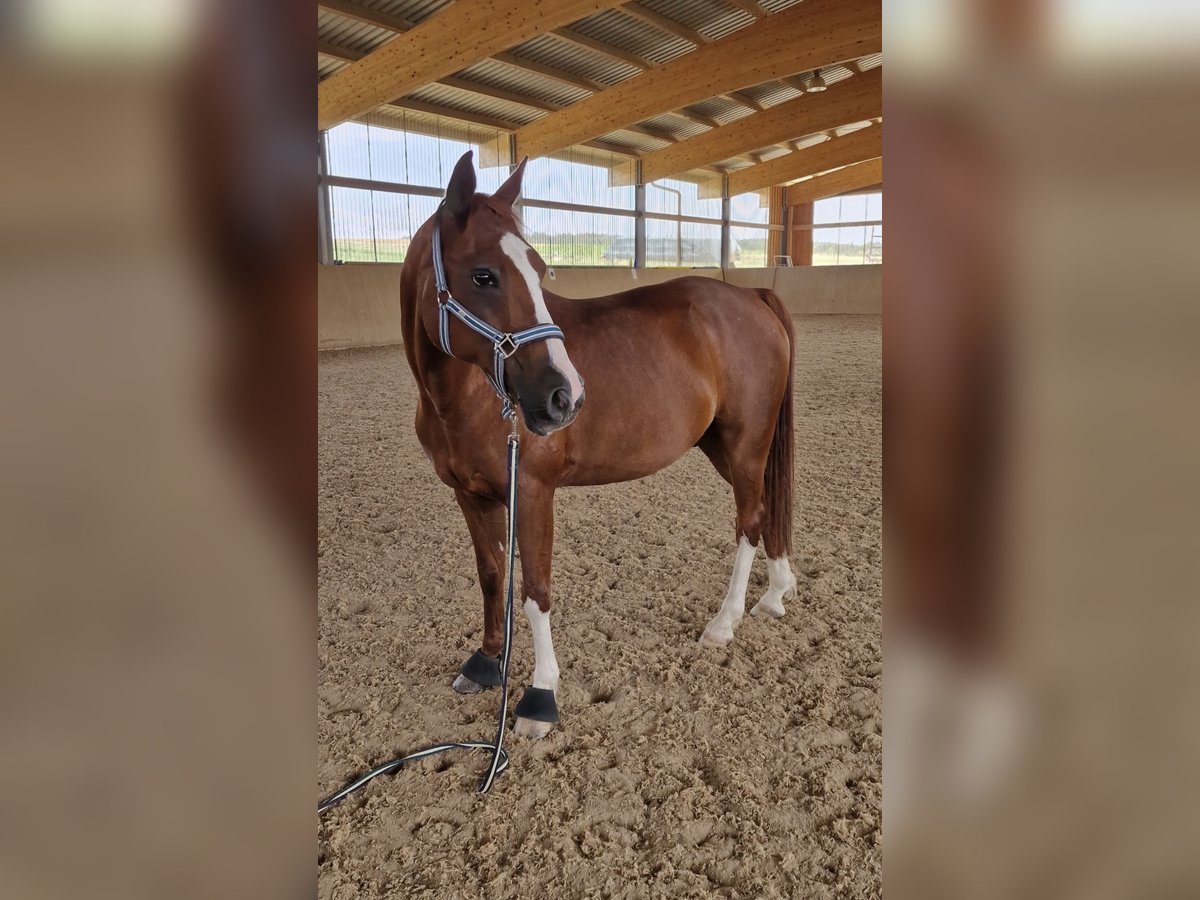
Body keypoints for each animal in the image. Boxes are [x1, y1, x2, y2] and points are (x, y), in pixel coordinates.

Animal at [400, 150, 796, 739]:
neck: (464, 396)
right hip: (724, 448)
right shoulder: (470, 495)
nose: (565, 397)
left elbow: (535, 589)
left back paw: (724, 624)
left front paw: (540, 695)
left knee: (749, 521)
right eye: (483, 275)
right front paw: (487, 662)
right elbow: (493, 575)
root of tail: (751, 294)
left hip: (745, 445)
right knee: (768, 508)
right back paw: (776, 593)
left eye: (540, 270)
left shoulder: (533, 493)